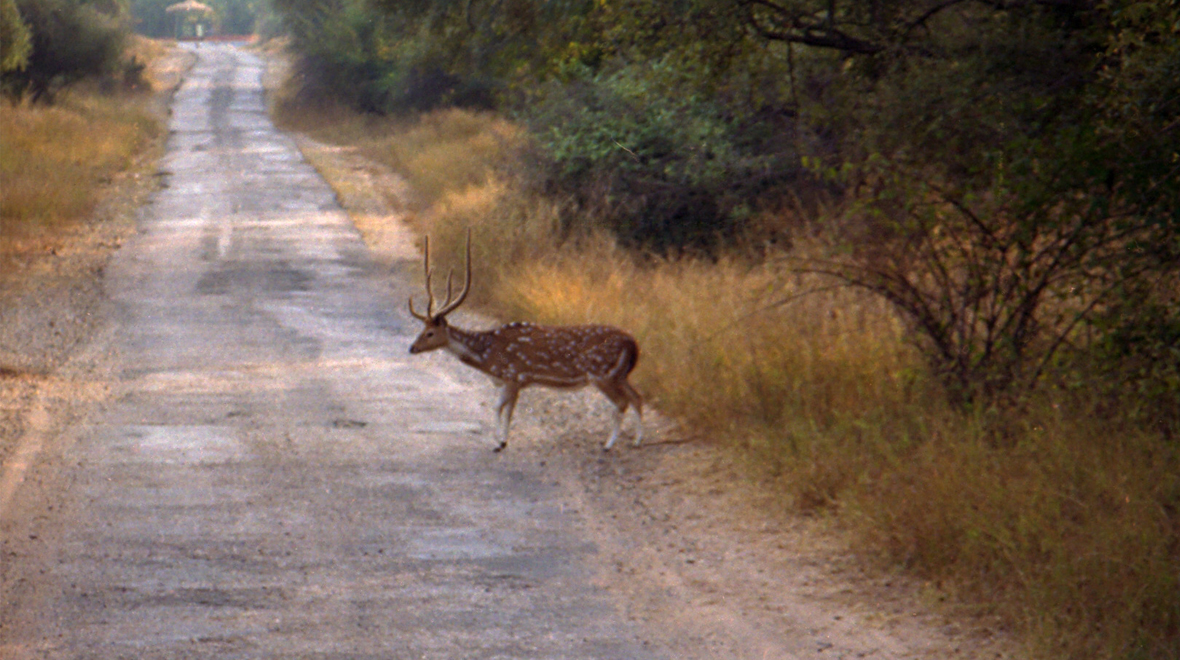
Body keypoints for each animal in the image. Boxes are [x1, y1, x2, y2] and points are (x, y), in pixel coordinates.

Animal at [405, 233, 646, 453]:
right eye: (421, 329)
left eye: (429, 333)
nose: (412, 348)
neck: (488, 357)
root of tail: (633, 342)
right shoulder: (509, 381)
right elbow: (498, 407)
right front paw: (499, 441)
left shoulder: (515, 376)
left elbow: (505, 410)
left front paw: (501, 442)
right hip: (619, 374)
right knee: (637, 397)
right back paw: (636, 441)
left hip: (601, 374)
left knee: (622, 402)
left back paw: (608, 444)